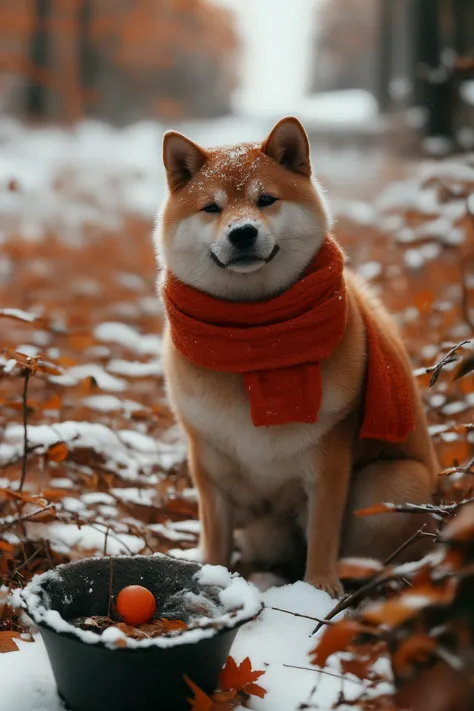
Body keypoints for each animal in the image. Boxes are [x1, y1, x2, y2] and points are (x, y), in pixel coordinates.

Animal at [154, 119, 438, 596]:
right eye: (211, 208)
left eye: (266, 199)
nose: (242, 232)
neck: (255, 340)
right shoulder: (209, 462)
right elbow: (216, 537)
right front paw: (211, 573)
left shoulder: (329, 460)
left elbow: (322, 534)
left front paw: (319, 588)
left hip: (394, 482)